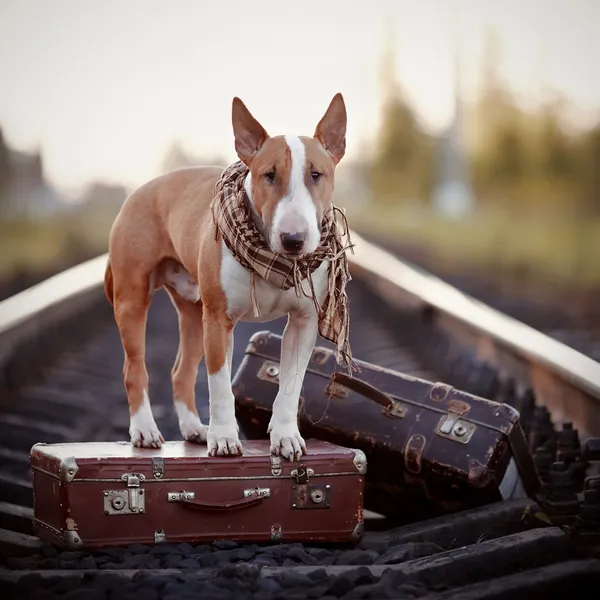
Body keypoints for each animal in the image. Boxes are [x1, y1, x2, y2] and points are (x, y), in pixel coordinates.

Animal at [105, 92, 350, 460]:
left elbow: (291, 385)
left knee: (180, 371)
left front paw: (286, 437)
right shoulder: (219, 319)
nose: (293, 239)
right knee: (133, 369)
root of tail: (136, 192)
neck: (275, 261)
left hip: (194, 311)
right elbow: (220, 385)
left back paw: (193, 429)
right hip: (134, 299)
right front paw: (222, 438)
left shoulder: (303, 322)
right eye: (269, 175)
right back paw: (145, 430)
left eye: (316, 174)